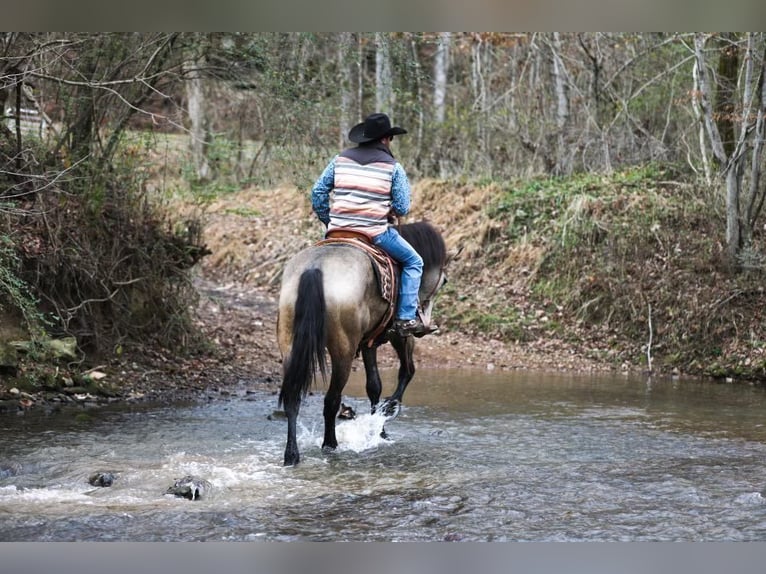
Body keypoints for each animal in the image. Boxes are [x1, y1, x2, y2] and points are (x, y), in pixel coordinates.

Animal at [280, 220, 452, 468]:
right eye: (444, 281)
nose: (425, 322)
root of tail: (315, 268)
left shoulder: (369, 342)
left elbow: (374, 385)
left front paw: (380, 427)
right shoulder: (398, 335)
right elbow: (406, 371)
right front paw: (386, 415)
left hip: (290, 345)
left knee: (292, 398)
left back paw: (292, 455)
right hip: (343, 351)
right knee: (332, 400)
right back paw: (330, 445)